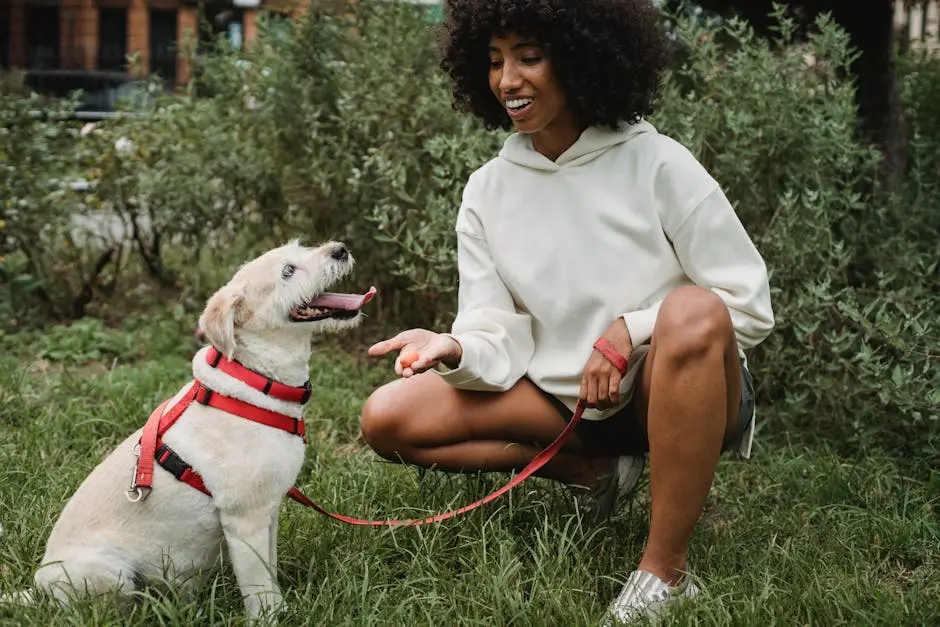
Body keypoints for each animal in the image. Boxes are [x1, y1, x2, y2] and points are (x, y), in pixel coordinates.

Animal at [4, 239, 378, 620]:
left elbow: (270, 572)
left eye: (302, 247)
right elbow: (261, 589)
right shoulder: (245, 520)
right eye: (288, 271)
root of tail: (37, 592)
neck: (256, 380)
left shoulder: (269, 511)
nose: (340, 249)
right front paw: (271, 617)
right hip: (109, 573)